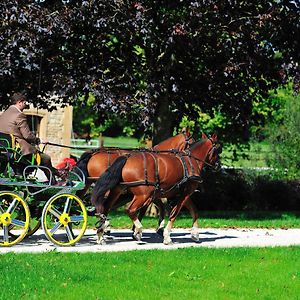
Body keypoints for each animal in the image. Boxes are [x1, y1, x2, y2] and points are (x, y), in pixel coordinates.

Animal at [90, 134, 219, 244]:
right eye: (218, 149)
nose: (218, 165)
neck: (190, 161)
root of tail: (126, 158)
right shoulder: (186, 192)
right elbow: (174, 213)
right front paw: (166, 236)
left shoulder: (180, 193)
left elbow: (194, 211)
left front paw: (195, 234)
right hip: (143, 194)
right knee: (130, 210)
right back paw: (138, 229)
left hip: (118, 190)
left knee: (105, 208)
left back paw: (101, 232)